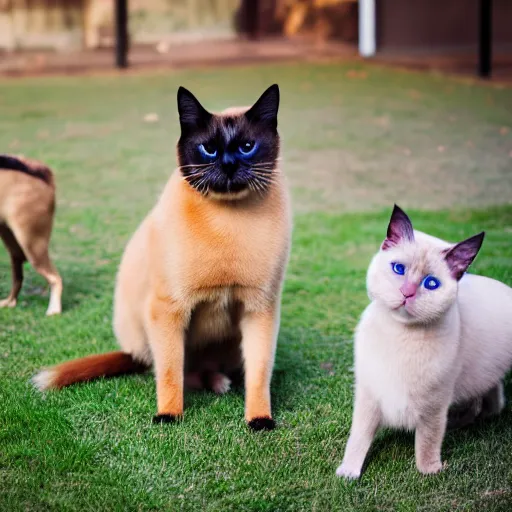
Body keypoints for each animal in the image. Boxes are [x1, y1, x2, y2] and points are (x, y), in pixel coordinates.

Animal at [0, 155, 62, 316]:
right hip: (13, 242)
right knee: (18, 277)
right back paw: (10, 302)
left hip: (32, 243)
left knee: (55, 277)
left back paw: (54, 310)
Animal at [34, 86, 292, 430]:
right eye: (208, 149)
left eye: (247, 147)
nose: (227, 164)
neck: (227, 218)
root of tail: (131, 351)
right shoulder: (168, 310)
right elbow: (170, 372)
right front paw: (169, 415)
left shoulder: (259, 310)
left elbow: (259, 373)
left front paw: (260, 419)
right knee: (170, 369)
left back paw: (219, 381)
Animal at [336, 206, 512, 478]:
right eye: (399, 269)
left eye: (431, 284)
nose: (407, 293)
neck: (400, 336)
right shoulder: (369, 397)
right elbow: (359, 438)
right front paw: (348, 474)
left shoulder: (434, 405)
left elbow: (427, 442)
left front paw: (430, 472)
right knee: (488, 396)